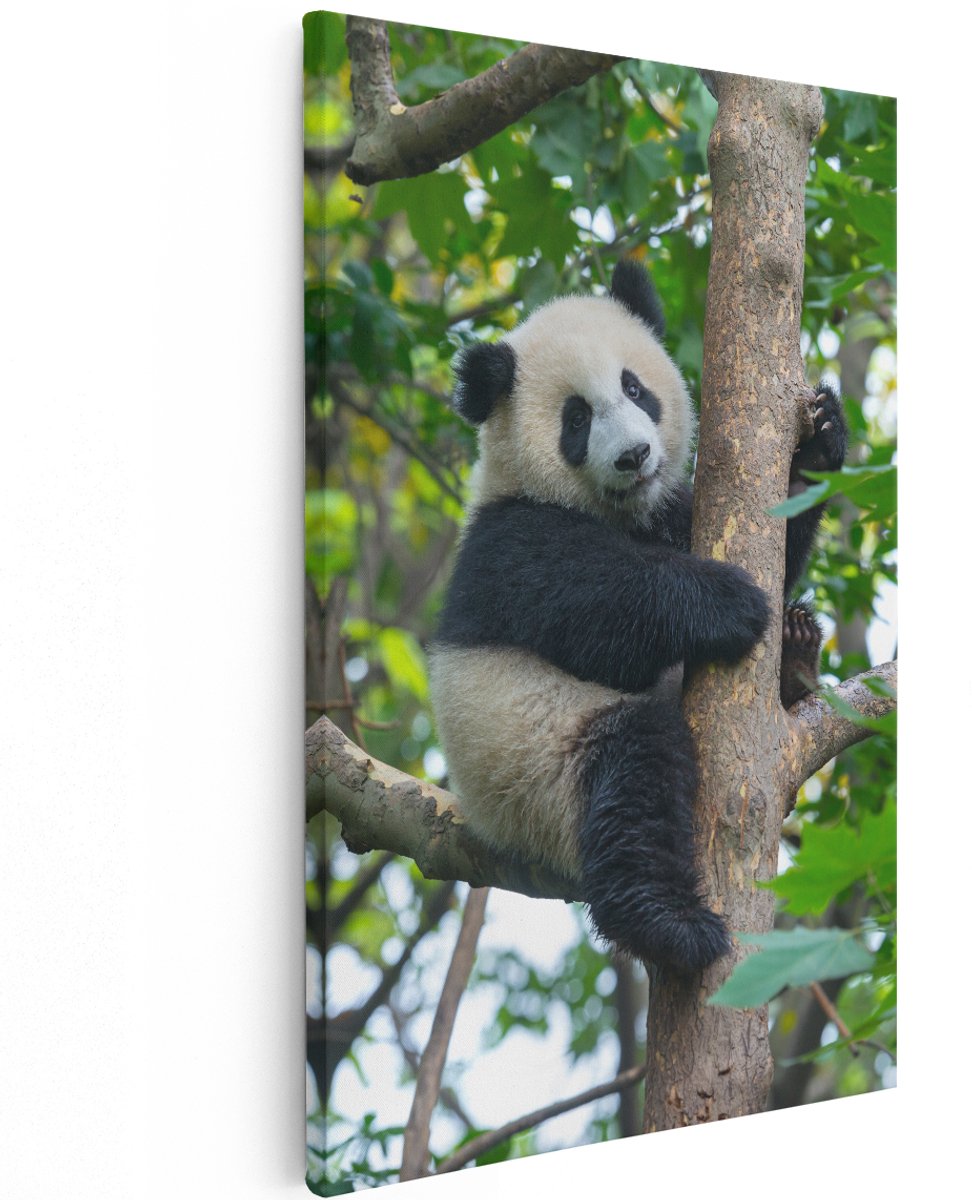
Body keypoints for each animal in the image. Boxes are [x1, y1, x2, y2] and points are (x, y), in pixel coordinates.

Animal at [428, 259, 846, 973]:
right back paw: (671, 925)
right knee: (634, 774)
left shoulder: (667, 513)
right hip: (537, 767)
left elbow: (775, 530)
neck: (612, 510)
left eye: (634, 388)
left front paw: (817, 442)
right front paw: (728, 602)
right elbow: (600, 609)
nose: (634, 457)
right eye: (576, 419)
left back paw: (795, 654)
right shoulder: (510, 544)